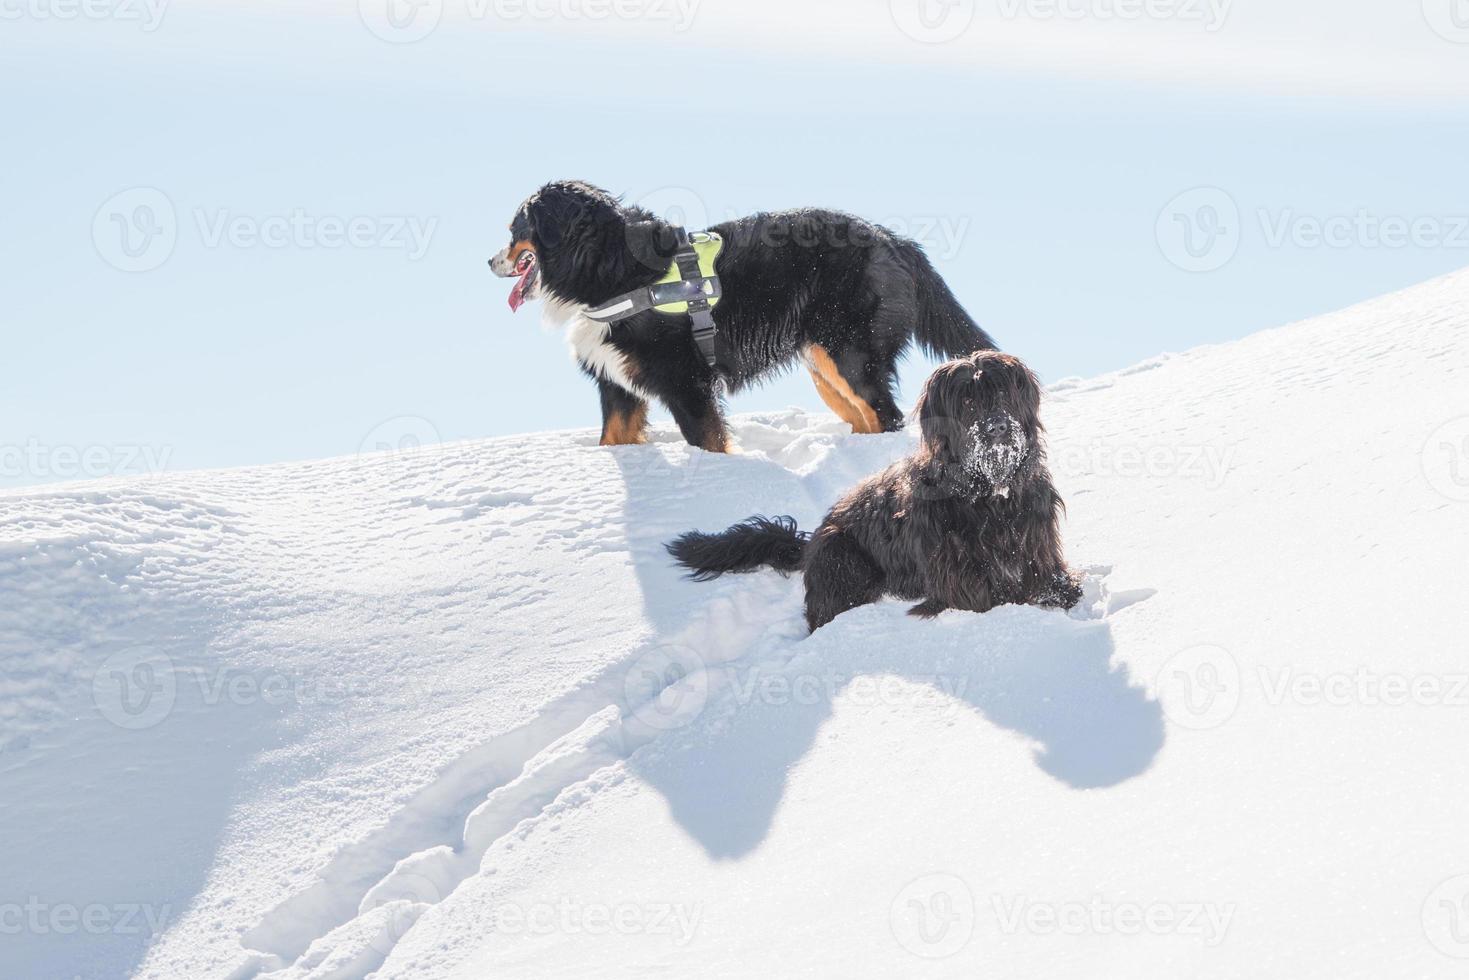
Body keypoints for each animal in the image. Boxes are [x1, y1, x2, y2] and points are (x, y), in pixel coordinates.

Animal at [487, 179, 993, 452]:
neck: (610, 268)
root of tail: (894, 240)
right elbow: (612, 440)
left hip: (850, 355)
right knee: (868, 419)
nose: (489, 262)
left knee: (885, 415)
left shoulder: (687, 384)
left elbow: (708, 442)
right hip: (824, 366)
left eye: (515, 229)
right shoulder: (618, 386)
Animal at [666, 348, 1081, 631]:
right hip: (843, 557)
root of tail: (810, 543)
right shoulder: (957, 580)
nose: (997, 427)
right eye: (967, 401)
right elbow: (987, 597)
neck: (987, 493)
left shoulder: (1036, 545)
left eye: (1003, 394)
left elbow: (1058, 586)